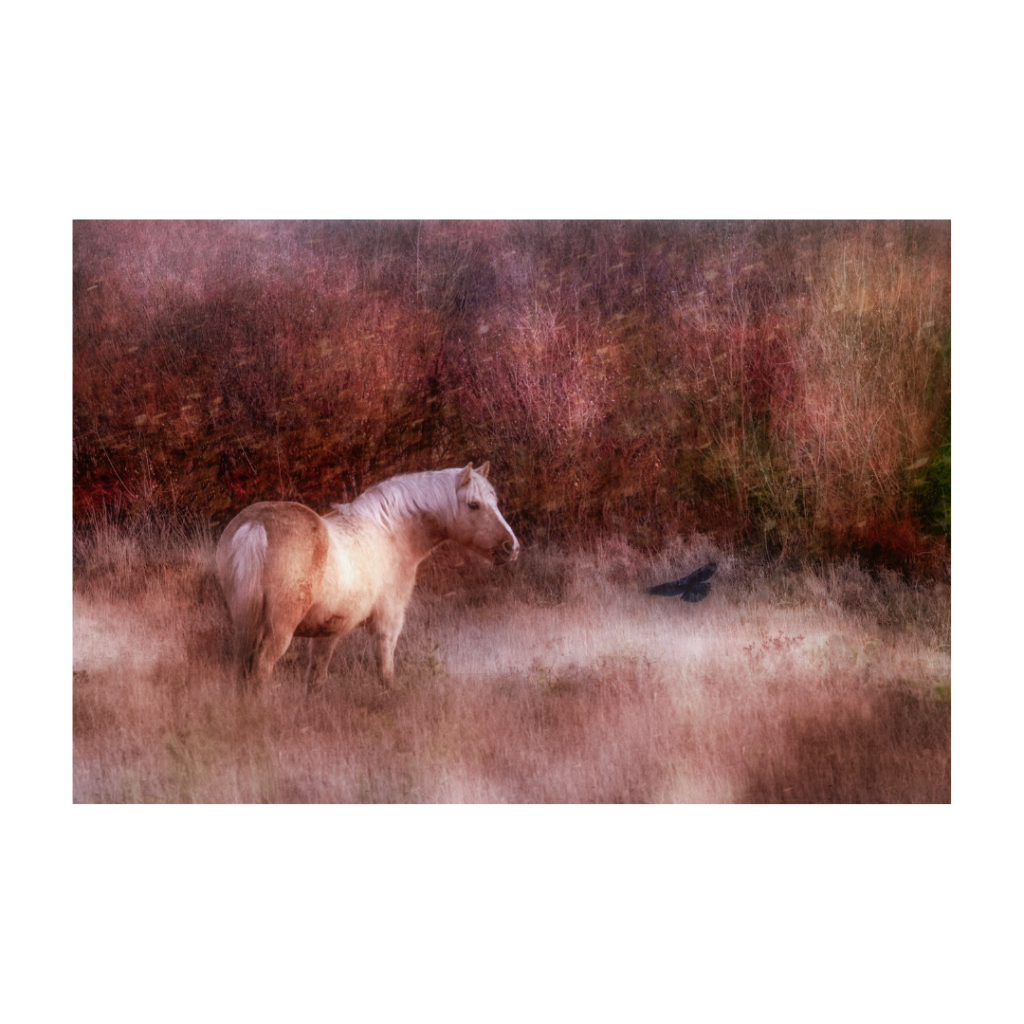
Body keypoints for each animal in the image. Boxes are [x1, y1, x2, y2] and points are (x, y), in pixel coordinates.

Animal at [216, 463, 519, 693]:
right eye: (473, 505)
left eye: (494, 501)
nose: (511, 547)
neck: (390, 533)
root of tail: (256, 525)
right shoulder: (387, 625)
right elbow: (385, 673)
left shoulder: (328, 633)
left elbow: (316, 680)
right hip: (279, 631)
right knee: (261, 670)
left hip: (244, 627)